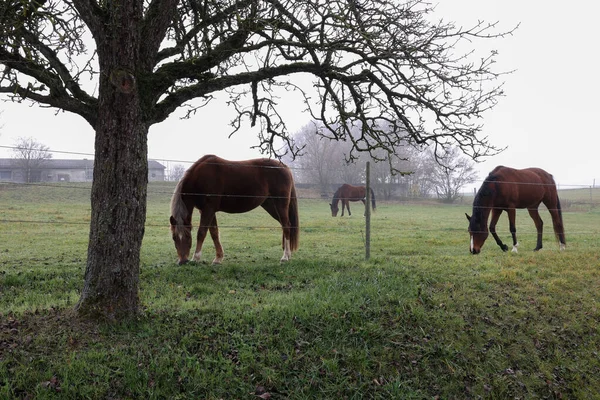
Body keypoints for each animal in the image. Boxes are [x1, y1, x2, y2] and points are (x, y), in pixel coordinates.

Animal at [169, 155, 300, 264]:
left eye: (188, 237)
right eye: (174, 238)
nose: (182, 261)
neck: (199, 178)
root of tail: (285, 167)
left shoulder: (208, 209)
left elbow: (201, 232)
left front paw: (196, 258)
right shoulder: (207, 210)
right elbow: (214, 232)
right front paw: (218, 258)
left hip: (280, 205)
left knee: (286, 226)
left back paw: (285, 256)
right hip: (270, 206)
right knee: (285, 225)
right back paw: (287, 253)